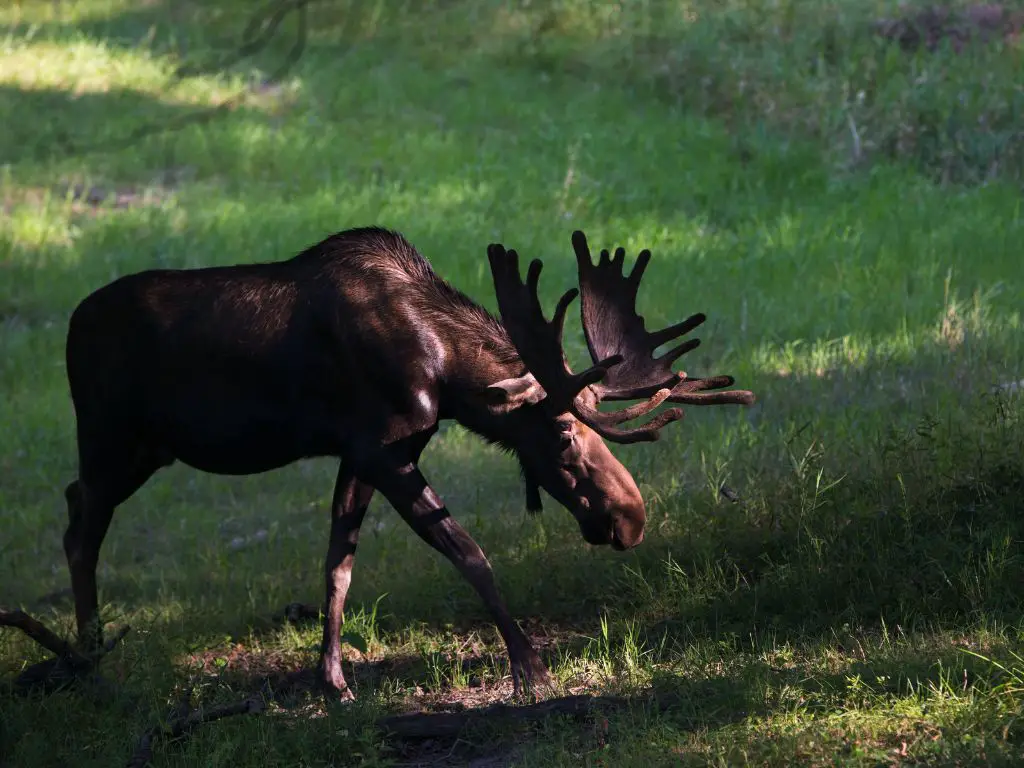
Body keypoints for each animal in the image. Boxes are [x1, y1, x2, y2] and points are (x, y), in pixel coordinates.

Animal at [61, 225, 753, 700]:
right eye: (561, 434)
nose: (631, 517)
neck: (446, 375)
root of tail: (69, 328)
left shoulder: (361, 452)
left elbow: (338, 565)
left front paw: (333, 679)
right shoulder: (384, 449)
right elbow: (468, 552)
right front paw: (529, 666)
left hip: (145, 450)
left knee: (74, 506)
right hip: (109, 436)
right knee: (79, 525)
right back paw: (89, 658)